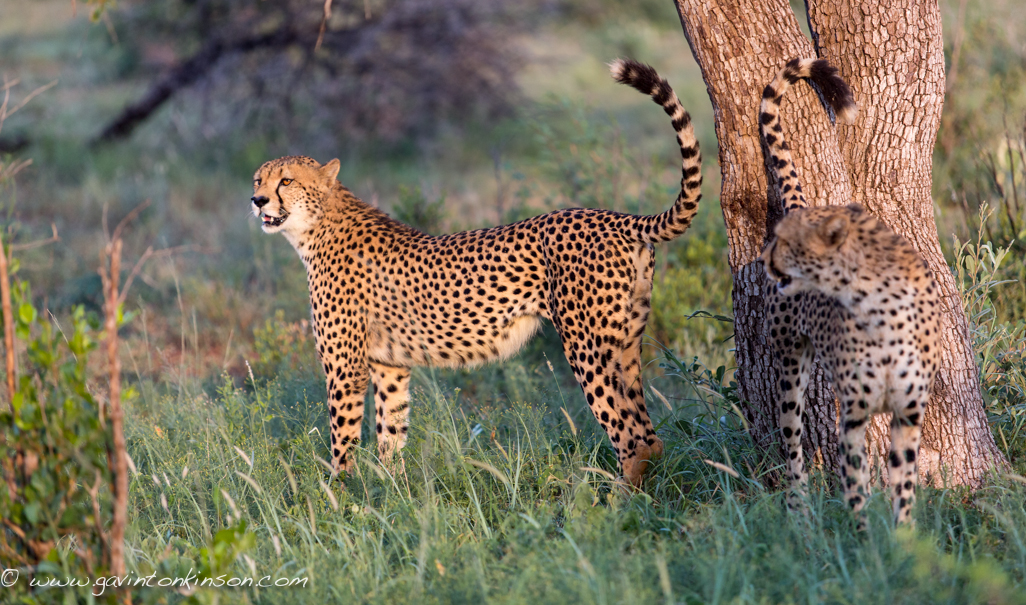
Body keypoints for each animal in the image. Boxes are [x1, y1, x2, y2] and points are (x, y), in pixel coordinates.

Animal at [252, 60, 705, 488]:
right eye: (259, 179)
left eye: (286, 181)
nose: (256, 201)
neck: (316, 227)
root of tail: (613, 216)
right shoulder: (389, 366)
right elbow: (390, 434)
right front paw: (394, 494)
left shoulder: (346, 368)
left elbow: (342, 439)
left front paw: (340, 496)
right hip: (626, 344)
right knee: (650, 435)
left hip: (587, 346)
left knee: (631, 435)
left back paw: (616, 501)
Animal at [759, 59, 939, 529]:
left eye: (785, 242)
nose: (765, 257)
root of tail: (805, 203)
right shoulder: (854, 419)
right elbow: (856, 488)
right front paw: (861, 541)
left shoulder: (907, 415)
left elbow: (903, 487)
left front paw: (902, 540)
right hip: (790, 367)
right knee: (792, 446)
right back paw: (800, 516)